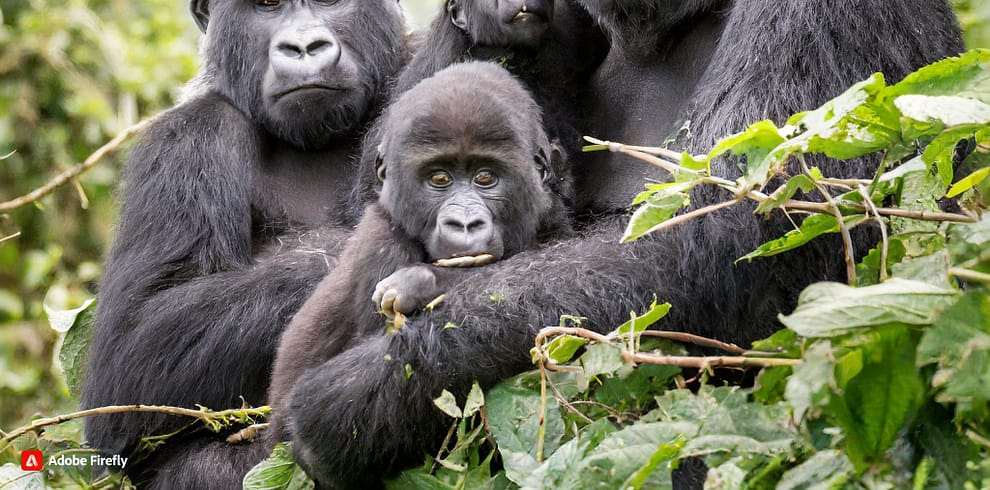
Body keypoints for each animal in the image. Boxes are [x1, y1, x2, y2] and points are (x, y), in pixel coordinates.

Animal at [268, 61, 568, 456]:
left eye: (485, 177)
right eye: (439, 179)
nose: (465, 223)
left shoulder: (552, 215)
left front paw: (419, 283)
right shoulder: (382, 239)